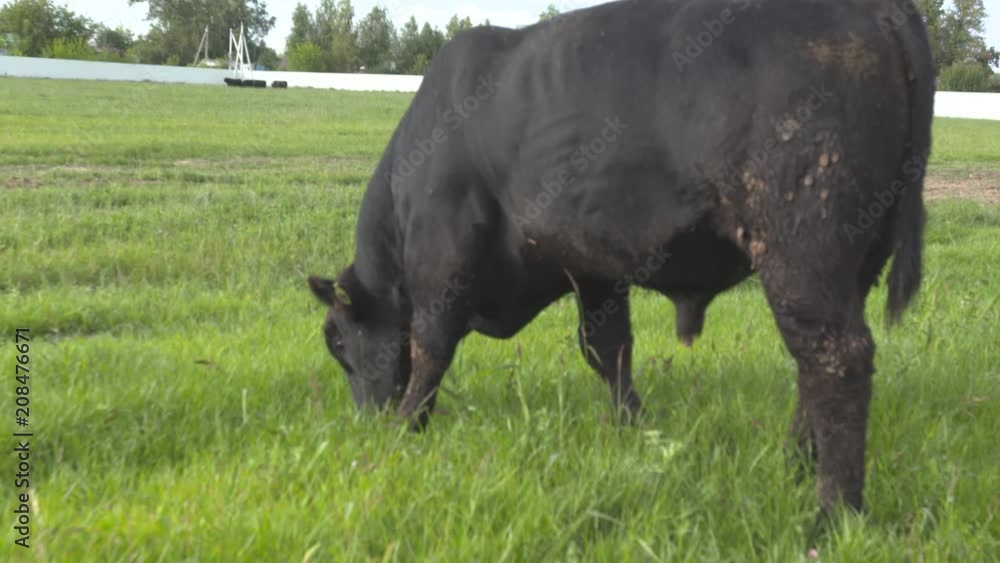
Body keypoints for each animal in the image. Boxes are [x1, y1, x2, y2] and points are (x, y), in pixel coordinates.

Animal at [308, 0, 934, 517]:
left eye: (336, 341)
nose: (366, 419)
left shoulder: (441, 261)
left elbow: (430, 348)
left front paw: (407, 426)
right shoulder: (592, 270)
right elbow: (606, 350)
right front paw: (632, 426)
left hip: (801, 249)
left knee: (835, 358)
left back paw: (832, 510)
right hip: (854, 260)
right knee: (816, 363)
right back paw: (794, 464)